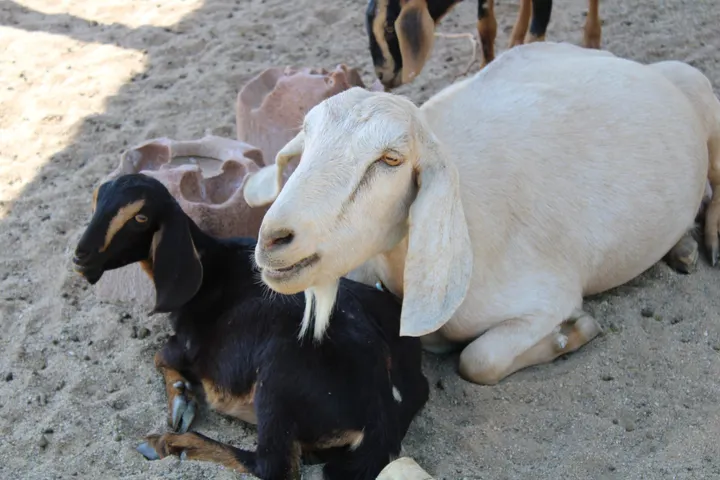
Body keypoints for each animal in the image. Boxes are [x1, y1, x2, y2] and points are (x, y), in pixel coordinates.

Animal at [72, 173, 430, 480]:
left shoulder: (187, 345)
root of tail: (379, 414)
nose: (81, 257)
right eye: (96, 202)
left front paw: (180, 404)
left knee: (273, 466)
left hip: (277, 383)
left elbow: (160, 355)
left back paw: (171, 444)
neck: (208, 266)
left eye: (140, 219)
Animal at [242, 42, 720, 386]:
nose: (274, 240)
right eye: (306, 134)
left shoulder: (549, 297)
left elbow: (478, 361)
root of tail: (631, 62)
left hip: (701, 91)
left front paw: (574, 333)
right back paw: (682, 247)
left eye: (391, 159)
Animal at [365, 0, 601, 88]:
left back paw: (592, 38)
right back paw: (515, 38)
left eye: (390, 27)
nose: (382, 75)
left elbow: (536, 36)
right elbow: (485, 25)